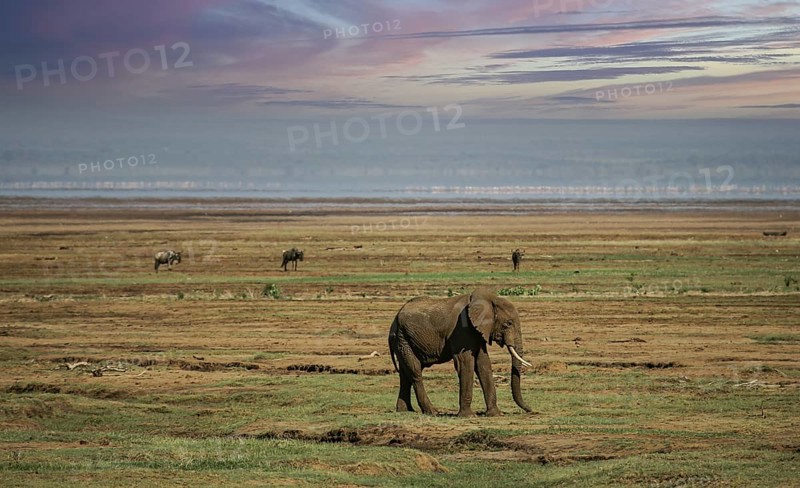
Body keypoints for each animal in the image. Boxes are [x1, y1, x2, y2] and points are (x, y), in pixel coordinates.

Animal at [388, 288, 533, 417]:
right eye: (508, 323)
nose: (530, 410)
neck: (488, 298)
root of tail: (394, 320)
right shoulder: (462, 329)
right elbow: (465, 362)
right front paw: (468, 416)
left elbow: (483, 363)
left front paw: (496, 414)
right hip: (403, 338)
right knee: (415, 371)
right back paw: (433, 412)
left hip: (404, 339)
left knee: (405, 373)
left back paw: (405, 411)